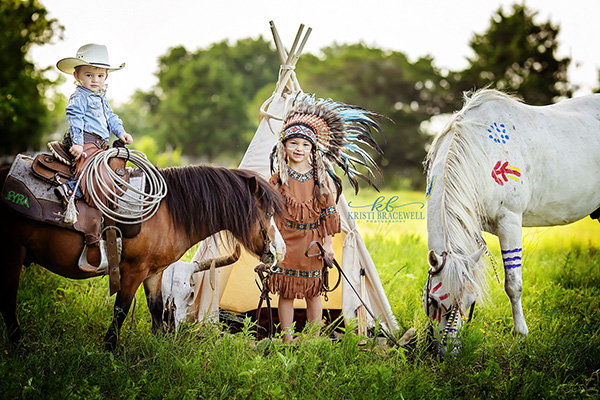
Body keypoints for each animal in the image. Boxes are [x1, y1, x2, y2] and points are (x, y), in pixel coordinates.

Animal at [0, 163, 284, 350]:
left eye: (190, 293)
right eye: (269, 212)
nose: (279, 251)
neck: (167, 213)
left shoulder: (154, 272)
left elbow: (155, 308)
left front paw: (158, 347)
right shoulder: (133, 271)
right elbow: (121, 310)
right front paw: (109, 349)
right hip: (12, 252)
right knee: (7, 300)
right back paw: (18, 344)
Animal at [422, 88, 600, 354]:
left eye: (470, 302)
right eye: (432, 300)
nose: (448, 354)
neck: (480, 153)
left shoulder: (510, 221)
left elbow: (513, 284)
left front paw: (520, 335)